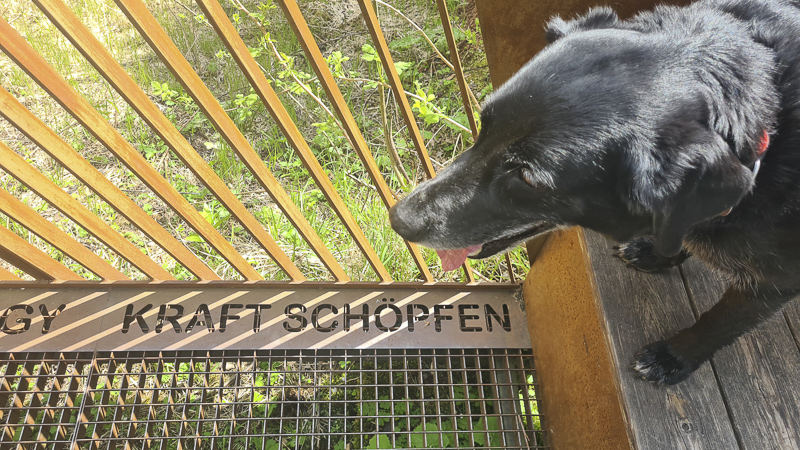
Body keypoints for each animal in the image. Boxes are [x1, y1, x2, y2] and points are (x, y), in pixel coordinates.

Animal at [390, 0, 800, 386]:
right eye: (484, 126)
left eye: (528, 178)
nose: (398, 220)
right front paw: (655, 252)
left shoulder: (772, 284)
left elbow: (719, 323)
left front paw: (673, 357)